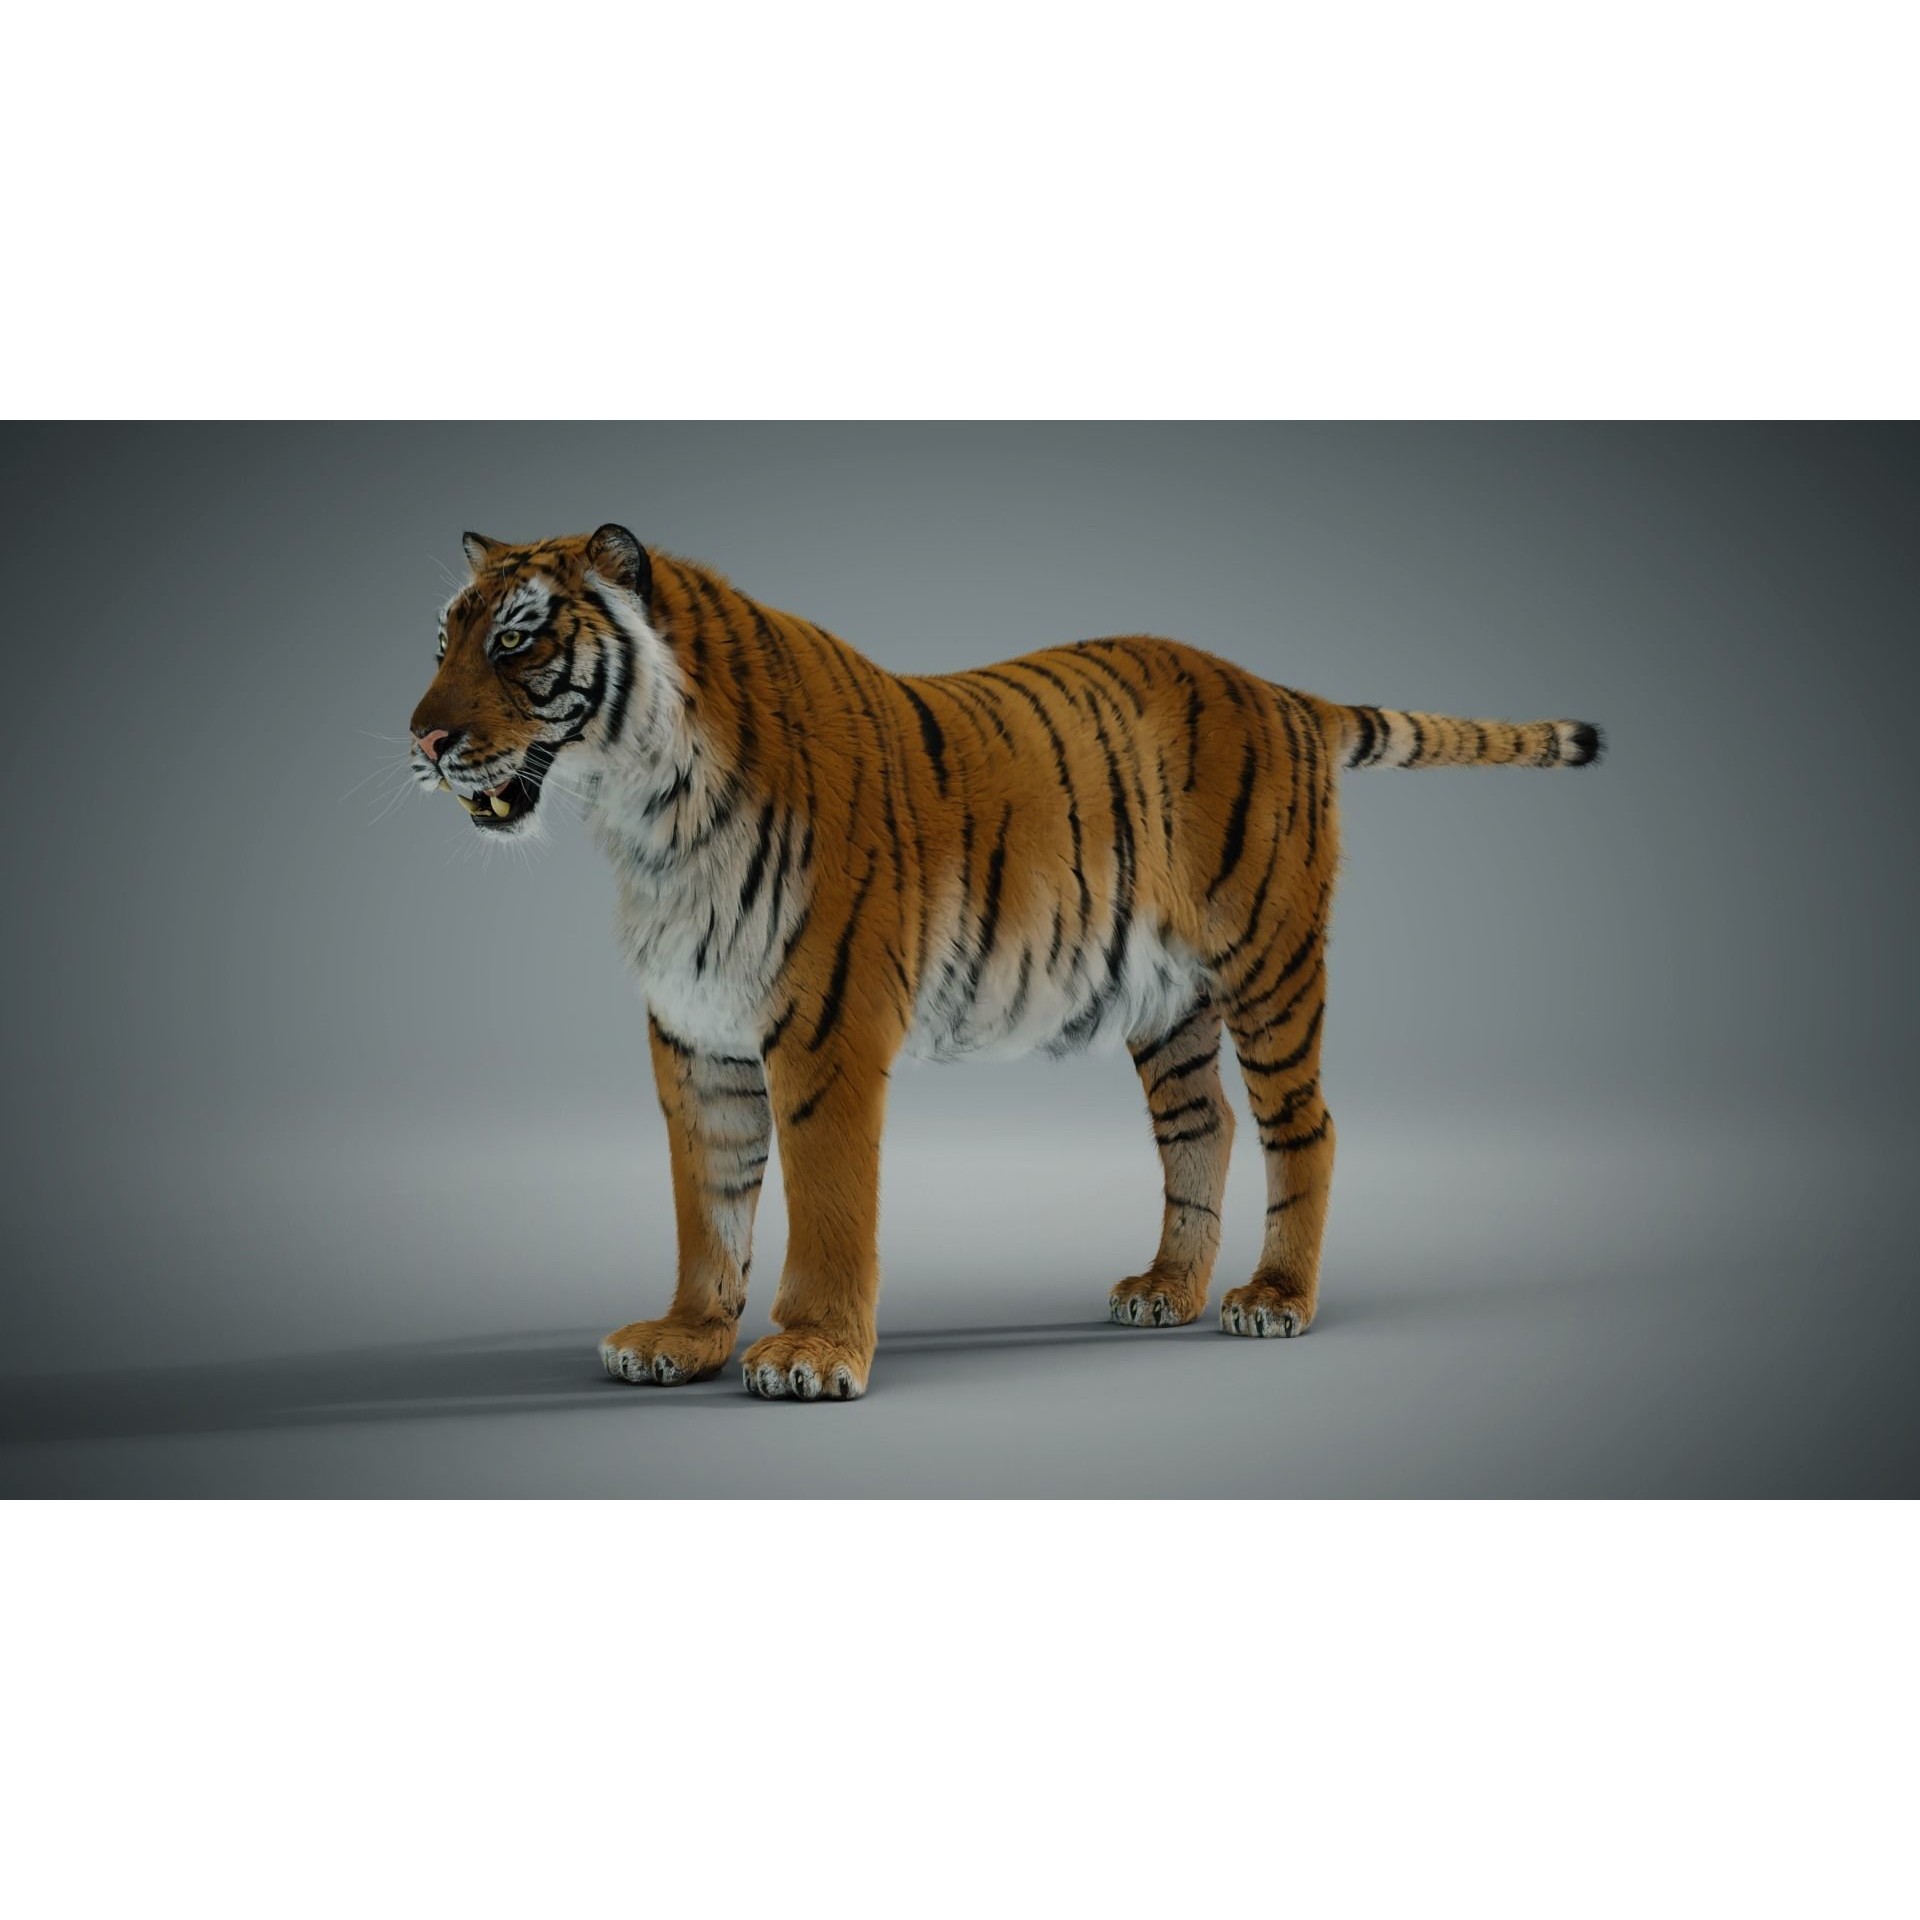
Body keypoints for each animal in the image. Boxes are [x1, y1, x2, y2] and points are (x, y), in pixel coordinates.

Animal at [407, 524, 1603, 1401]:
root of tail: (1276, 690)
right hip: (1169, 1005)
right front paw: (685, 1337)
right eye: (442, 644)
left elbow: (829, 1203)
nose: (420, 740)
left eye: (516, 642)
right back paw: (1166, 1288)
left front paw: (812, 1356)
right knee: (1203, 1128)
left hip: (1271, 965)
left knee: (1305, 1125)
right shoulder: (695, 1036)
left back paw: (1275, 1298)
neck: (645, 815)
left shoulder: (825, 1029)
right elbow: (708, 1201)